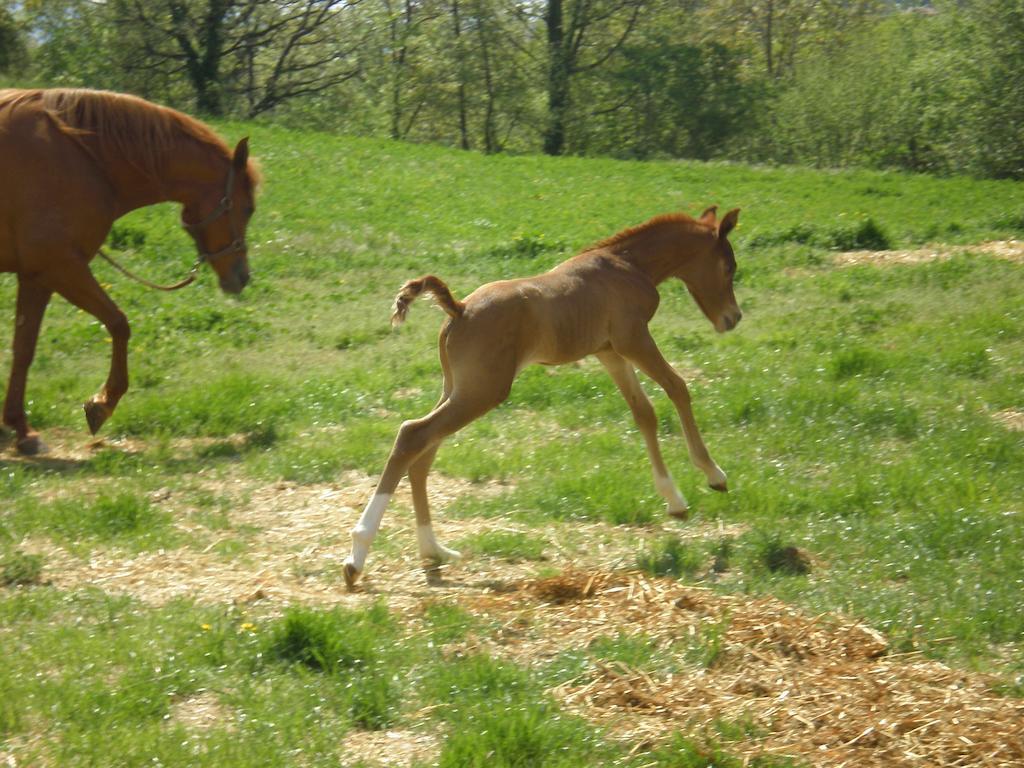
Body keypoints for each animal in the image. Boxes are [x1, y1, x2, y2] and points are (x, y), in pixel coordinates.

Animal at [0, 88, 260, 454]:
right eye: (248, 208)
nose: (242, 276)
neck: (82, 156)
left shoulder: (37, 275)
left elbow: (23, 350)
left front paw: (21, 429)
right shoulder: (62, 266)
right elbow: (119, 324)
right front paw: (102, 404)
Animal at [346, 207, 745, 585]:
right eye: (729, 267)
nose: (734, 318)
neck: (628, 264)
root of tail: (459, 308)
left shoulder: (609, 352)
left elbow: (643, 412)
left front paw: (674, 500)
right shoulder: (633, 338)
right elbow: (678, 387)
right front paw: (713, 475)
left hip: (457, 388)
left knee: (423, 453)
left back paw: (433, 550)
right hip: (482, 391)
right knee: (413, 434)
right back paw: (358, 557)